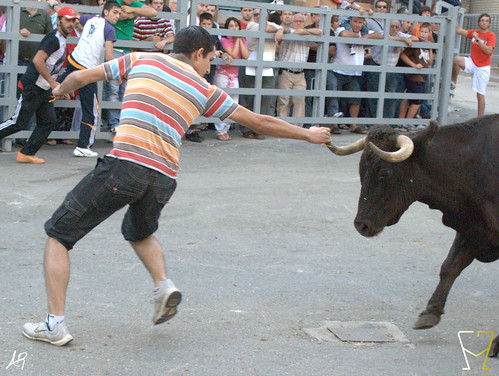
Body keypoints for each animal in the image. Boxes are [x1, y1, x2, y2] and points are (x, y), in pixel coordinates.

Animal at [328, 116, 499, 356]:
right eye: (361, 170)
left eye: (384, 173)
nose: (361, 225)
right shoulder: (471, 228)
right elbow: (450, 266)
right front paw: (430, 313)